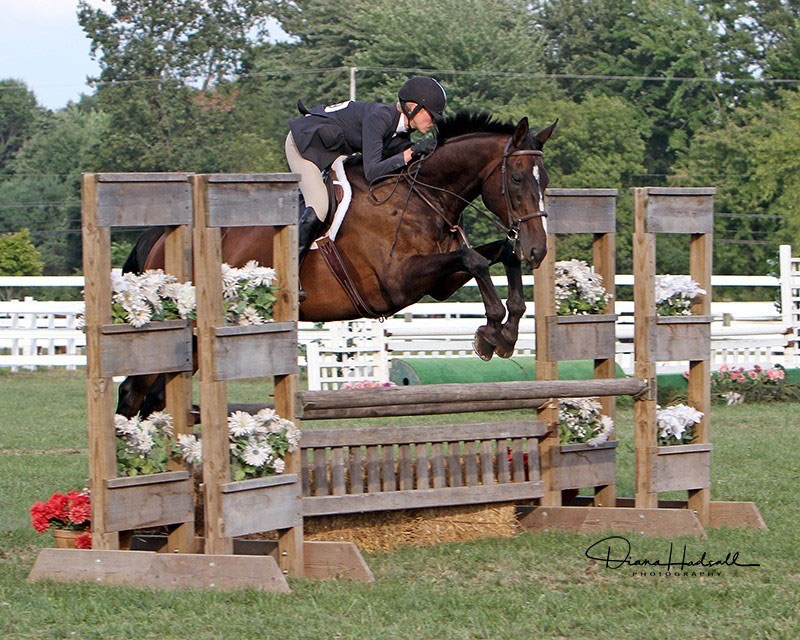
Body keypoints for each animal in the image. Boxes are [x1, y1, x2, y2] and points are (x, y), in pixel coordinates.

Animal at [117, 112, 556, 418]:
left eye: (546, 180)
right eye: (517, 179)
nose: (538, 251)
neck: (422, 196)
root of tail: (162, 236)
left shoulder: (440, 284)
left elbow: (499, 253)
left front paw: (507, 330)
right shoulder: (397, 282)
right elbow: (475, 258)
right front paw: (492, 331)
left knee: (151, 395)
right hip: (188, 329)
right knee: (134, 392)